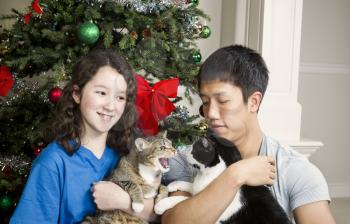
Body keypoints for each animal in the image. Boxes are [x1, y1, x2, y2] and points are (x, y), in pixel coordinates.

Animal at [156, 135, 292, 224]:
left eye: (194, 149)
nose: (185, 151)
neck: (206, 175)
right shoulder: (200, 189)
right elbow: (192, 185)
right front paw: (173, 185)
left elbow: (183, 199)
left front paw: (161, 205)